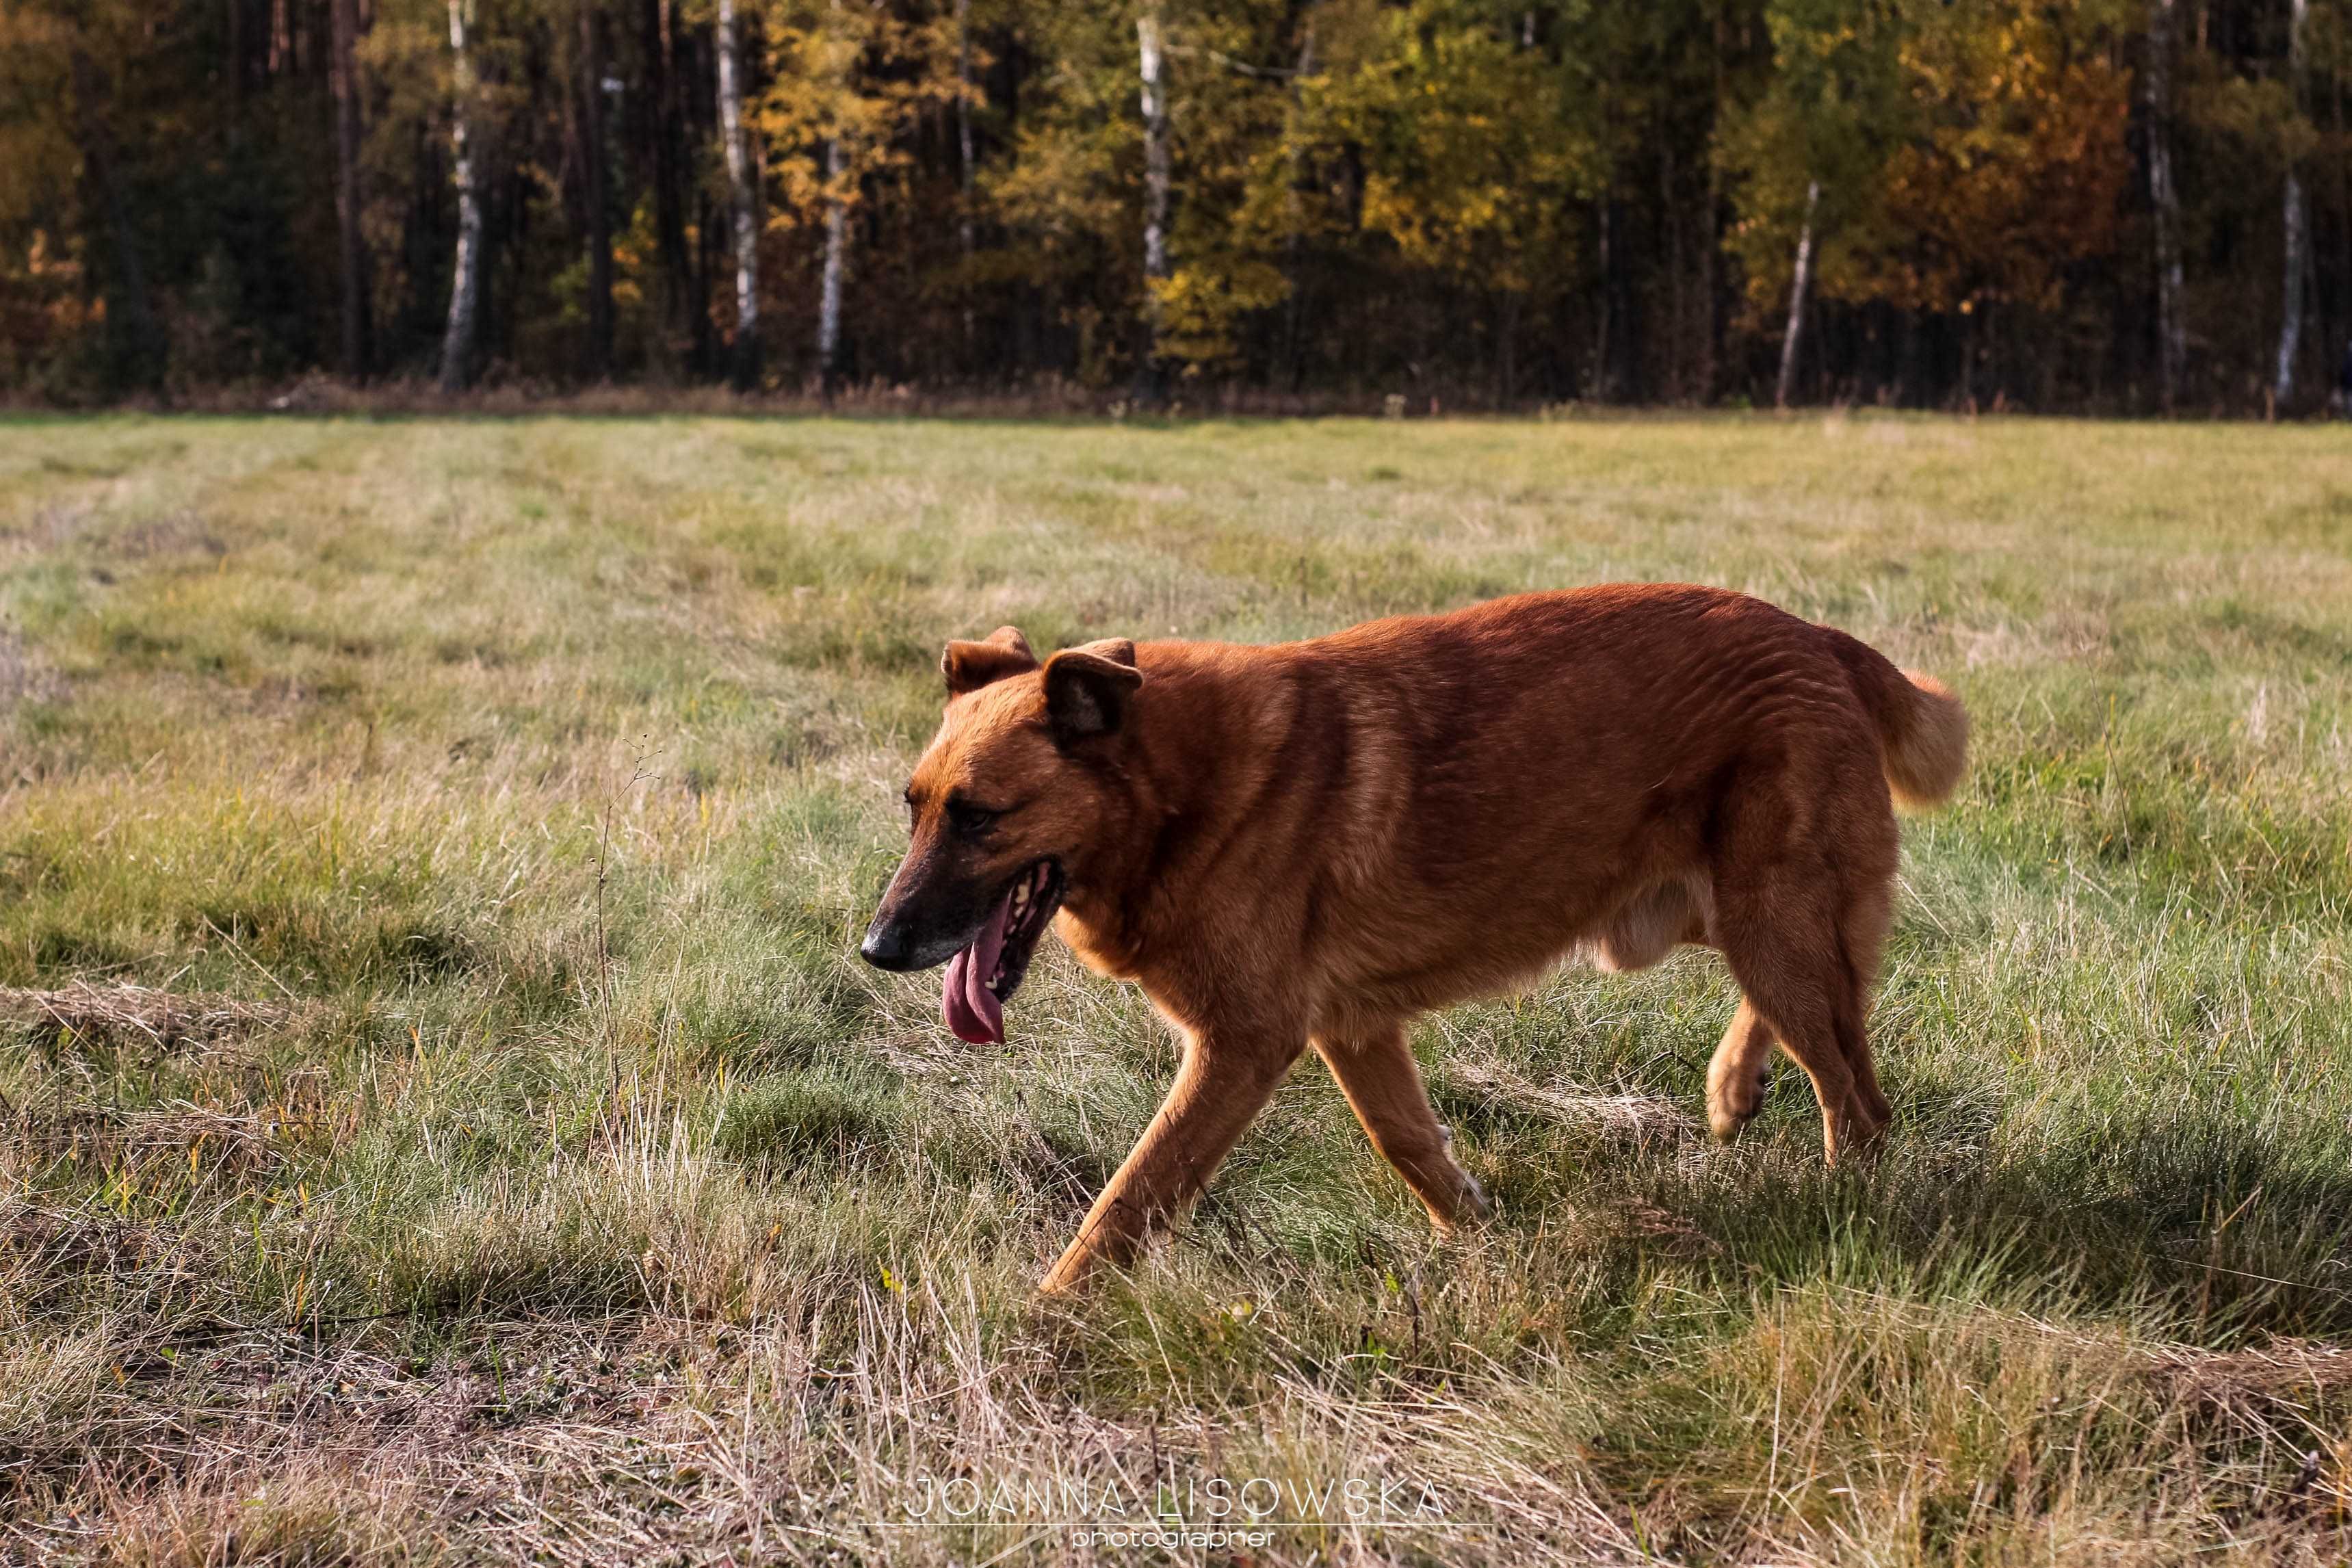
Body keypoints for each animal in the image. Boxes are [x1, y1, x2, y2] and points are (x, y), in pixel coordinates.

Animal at [865, 583, 1966, 1297]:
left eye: (978, 819)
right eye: (914, 808)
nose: (878, 949)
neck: (1178, 790)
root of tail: (1819, 638)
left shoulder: (1243, 1045)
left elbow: (1129, 1199)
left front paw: (1047, 1320)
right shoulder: (1350, 1029)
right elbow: (1407, 1144)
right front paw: (1480, 1240)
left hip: (1766, 915)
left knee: (1855, 1098)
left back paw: (1847, 1210)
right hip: (1716, 911)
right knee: (1828, 1025)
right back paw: (1734, 1086)